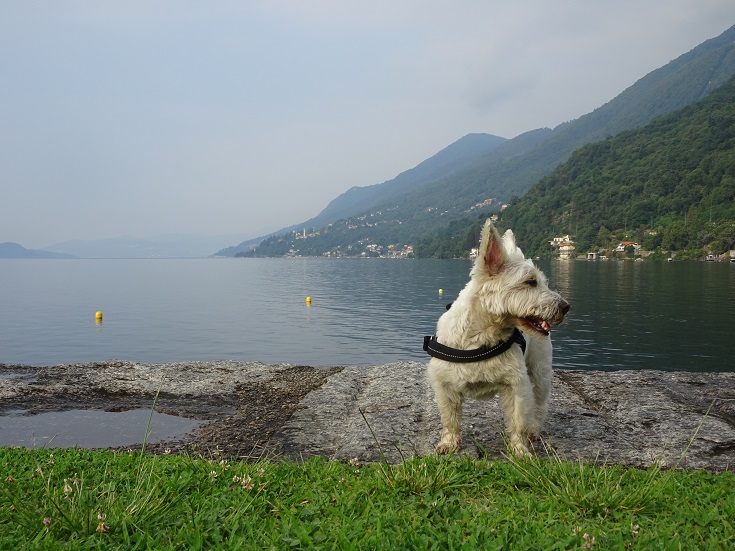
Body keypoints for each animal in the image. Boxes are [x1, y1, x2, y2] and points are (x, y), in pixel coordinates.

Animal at [426, 220, 568, 458]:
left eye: (542, 282)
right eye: (530, 282)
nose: (566, 307)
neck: (480, 337)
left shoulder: (516, 384)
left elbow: (518, 420)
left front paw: (520, 451)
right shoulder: (445, 385)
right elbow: (450, 418)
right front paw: (448, 444)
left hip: (539, 369)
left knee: (540, 403)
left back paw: (534, 431)